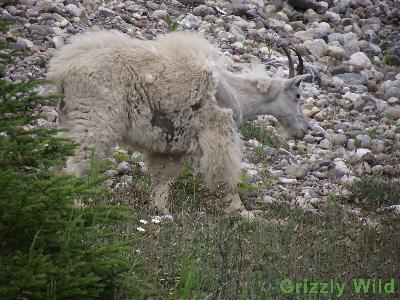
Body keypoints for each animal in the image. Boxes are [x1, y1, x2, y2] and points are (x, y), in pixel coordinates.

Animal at [47, 29, 310, 218]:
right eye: (298, 95)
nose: (303, 130)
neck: (236, 92)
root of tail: (62, 71)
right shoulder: (218, 129)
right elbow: (226, 174)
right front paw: (243, 212)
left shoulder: (170, 144)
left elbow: (163, 178)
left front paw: (161, 211)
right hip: (93, 117)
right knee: (78, 161)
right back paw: (77, 205)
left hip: (69, 118)